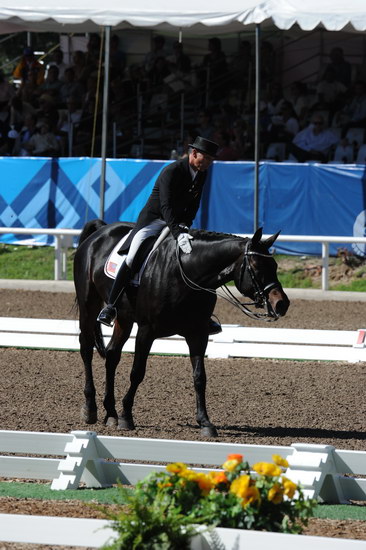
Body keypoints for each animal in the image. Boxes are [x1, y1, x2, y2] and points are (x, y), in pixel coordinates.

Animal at [73, 220, 288, 440]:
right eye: (256, 267)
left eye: (274, 266)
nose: (281, 304)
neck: (186, 273)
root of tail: (100, 231)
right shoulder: (146, 331)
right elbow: (137, 372)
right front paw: (127, 417)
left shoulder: (198, 334)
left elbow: (200, 377)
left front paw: (205, 423)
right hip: (89, 305)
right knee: (86, 348)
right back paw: (90, 409)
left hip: (124, 318)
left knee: (112, 354)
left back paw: (111, 414)